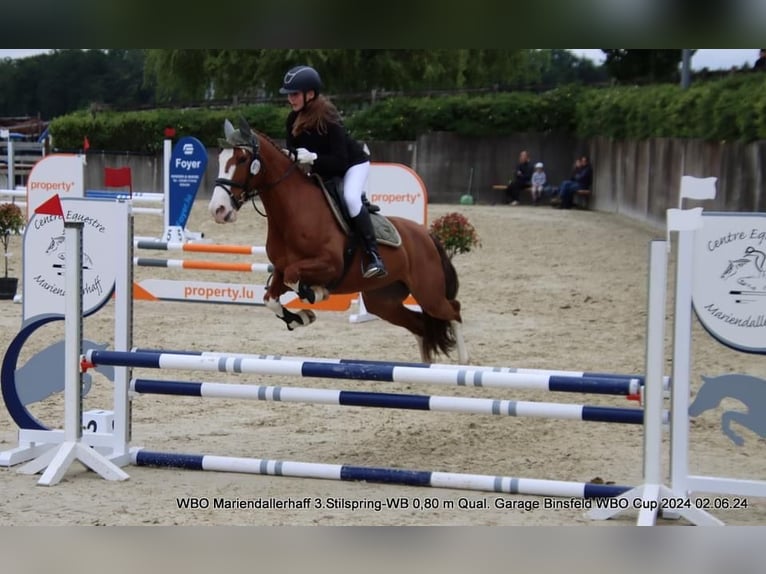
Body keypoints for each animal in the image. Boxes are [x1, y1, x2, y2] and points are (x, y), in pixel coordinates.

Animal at [207, 119, 468, 364]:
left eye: (242, 159)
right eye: (221, 158)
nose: (218, 210)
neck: (293, 211)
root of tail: (427, 236)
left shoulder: (330, 264)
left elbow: (295, 278)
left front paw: (316, 294)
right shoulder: (280, 269)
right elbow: (272, 299)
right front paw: (301, 317)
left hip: (428, 293)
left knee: (453, 310)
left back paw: (463, 360)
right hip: (383, 301)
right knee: (420, 324)